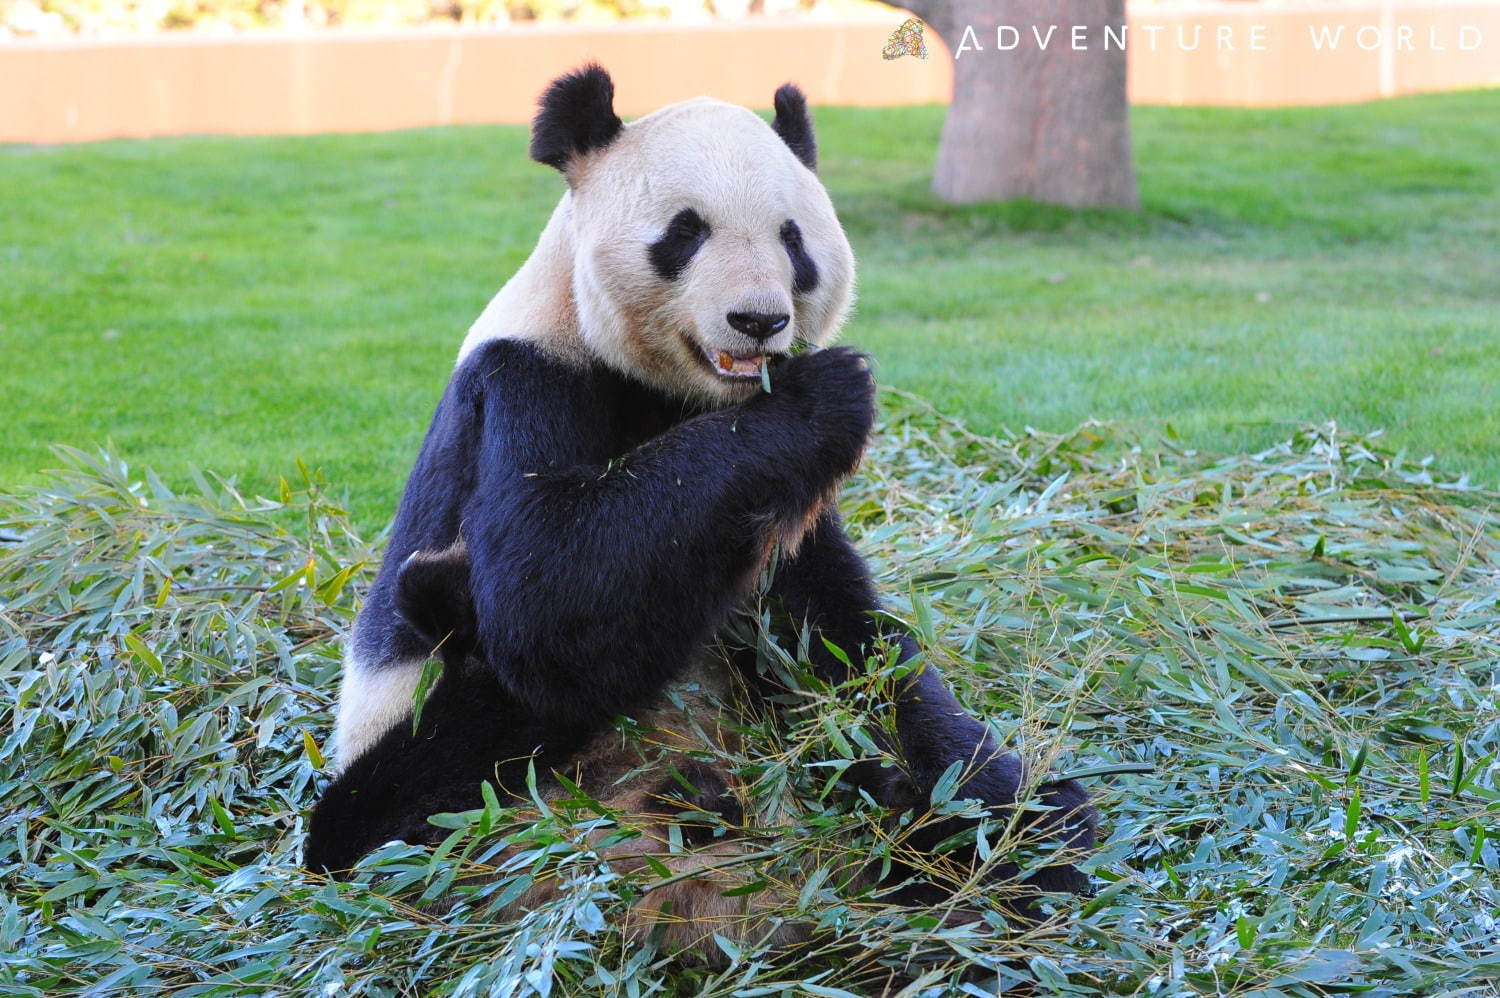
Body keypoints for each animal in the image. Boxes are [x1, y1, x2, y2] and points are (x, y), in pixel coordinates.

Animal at [307, 64, 1104, 948]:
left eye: (793, 239)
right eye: (685, 232)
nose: (758, 320)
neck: (687, 395)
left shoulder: (776, 512)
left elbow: (844, 644)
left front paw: (993, 813)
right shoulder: (530, 380)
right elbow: (547, 598)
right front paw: (829, 391)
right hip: (455, 797)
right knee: (414, 789)